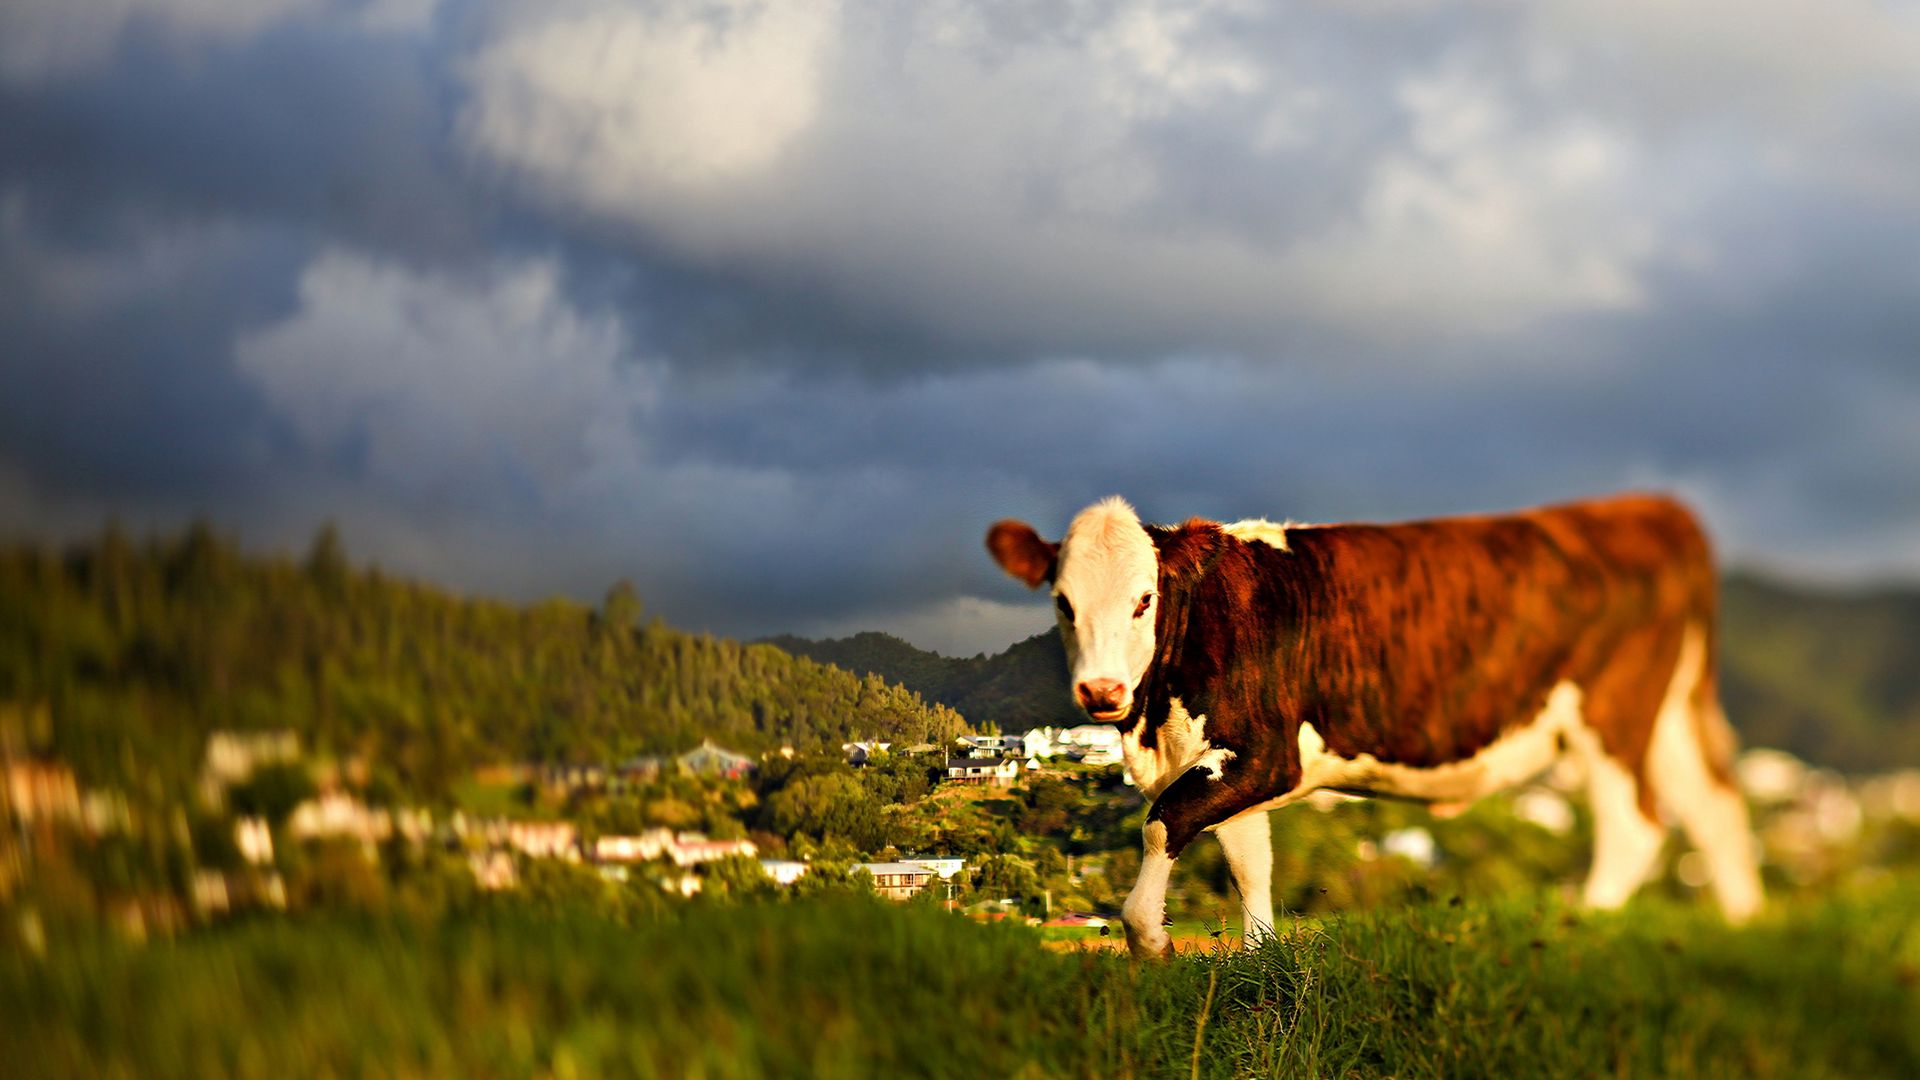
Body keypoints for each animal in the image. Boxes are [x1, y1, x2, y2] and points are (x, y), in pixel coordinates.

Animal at [986, 494, 1763, 959]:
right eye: (1062, 602)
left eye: (1145, 598)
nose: (1101, 690)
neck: (1155, 720)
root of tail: (1642, 505)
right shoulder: (1217, 758)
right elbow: (1248, 860)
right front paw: (1260, 966)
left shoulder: (1267, 754)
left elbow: (1163, 822)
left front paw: (1151, 943)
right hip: (1670, 712)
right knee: (1716, 809)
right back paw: (1744, 928)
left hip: (1613, 714)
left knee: (1638, 825)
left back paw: (1582, 932)